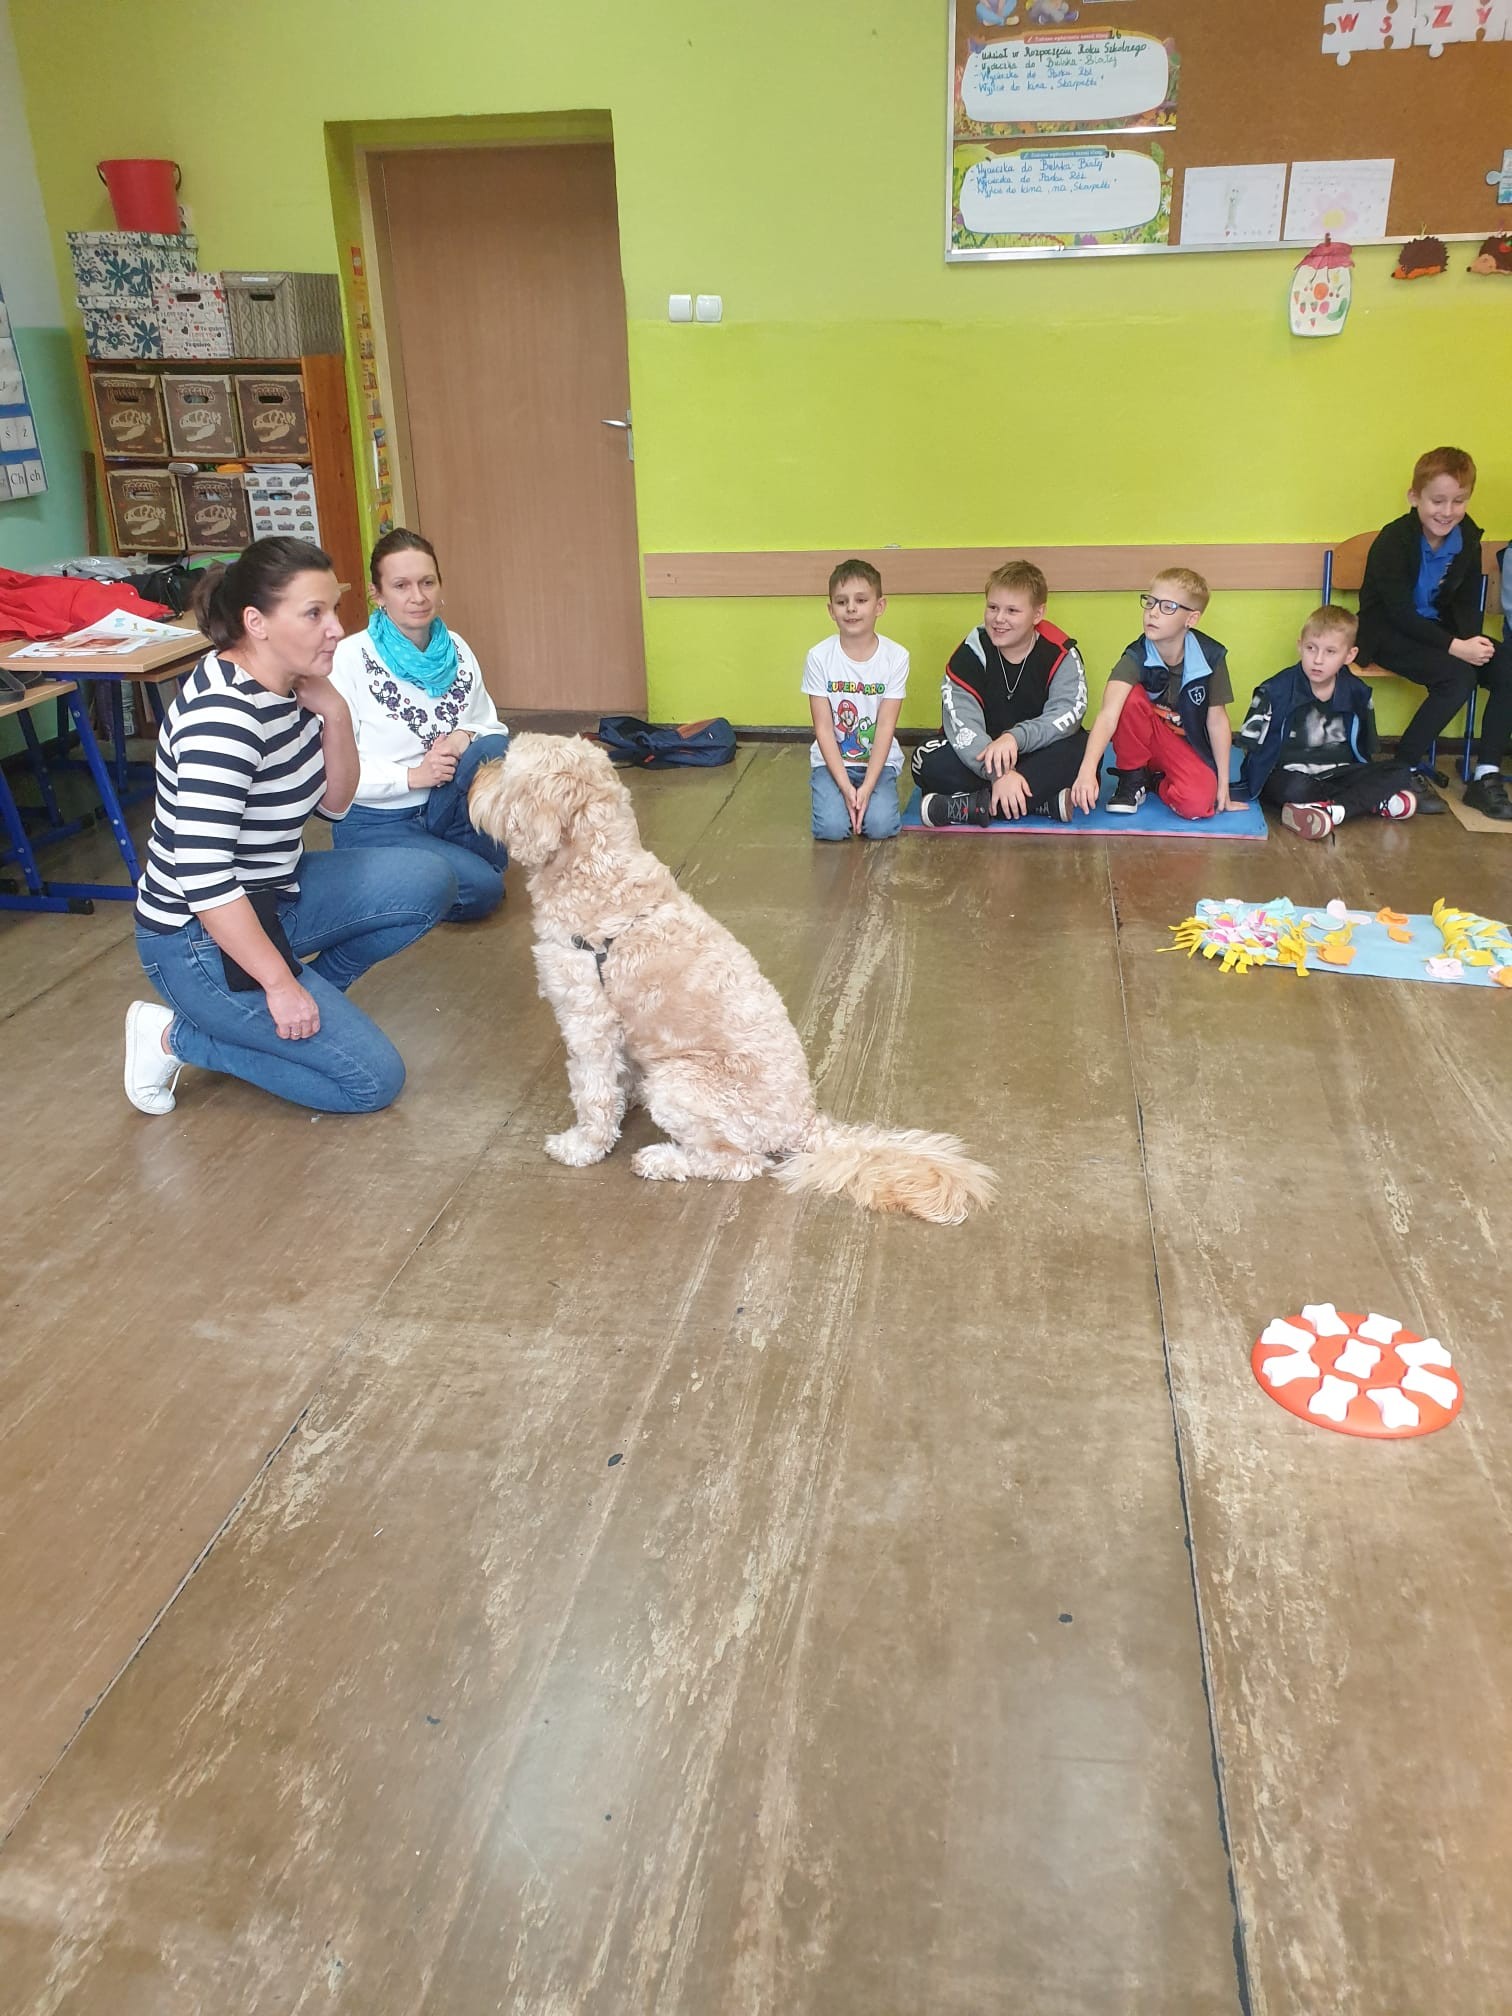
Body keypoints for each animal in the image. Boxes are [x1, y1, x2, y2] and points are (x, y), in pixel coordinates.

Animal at [469, 735, 995, 1224]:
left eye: (508, 767)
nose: (475, 773)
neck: (600, 877)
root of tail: (804, 1123)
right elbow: (617, 1079)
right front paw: (623, 1097)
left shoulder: (587, 1020)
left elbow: (593, 1095)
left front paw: (582, 1146)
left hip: (679, 1083)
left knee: (739, 1163)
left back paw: (662, 1159)